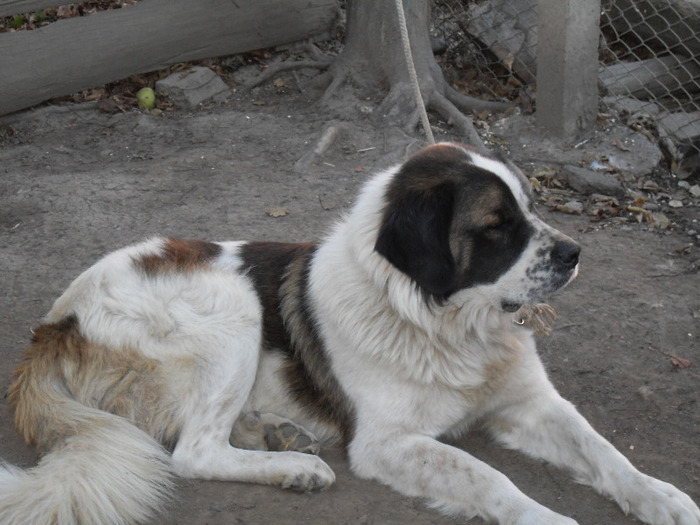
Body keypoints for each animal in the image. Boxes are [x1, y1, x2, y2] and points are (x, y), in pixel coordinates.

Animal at [1, 141, 700, 520]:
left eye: (531, 208)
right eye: (497, 226)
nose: (576, 253)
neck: (441, 323)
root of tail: (54, 322)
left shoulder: (531, 405)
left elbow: (604, 452)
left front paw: (662, 498)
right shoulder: (387, 442)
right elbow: (490, 479)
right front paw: (547, 520)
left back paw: (275, 433)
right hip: (234, 304)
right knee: (193, 452)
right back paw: (294, 467)